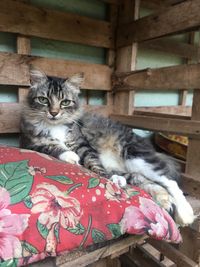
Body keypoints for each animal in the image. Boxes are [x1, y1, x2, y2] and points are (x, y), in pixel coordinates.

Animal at [20, 68, 195, 227]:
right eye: (43, 100)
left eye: (65, 102)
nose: (54, 113)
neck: (55, 126)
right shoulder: (33, 143)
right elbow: (54, 147)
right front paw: (71, 156)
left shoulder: (83, 143)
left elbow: (94, 164)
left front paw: (102, 176)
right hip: (128, 166)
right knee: (143, 179)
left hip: (136, 157)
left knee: (169, 182)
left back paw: (186, 214)